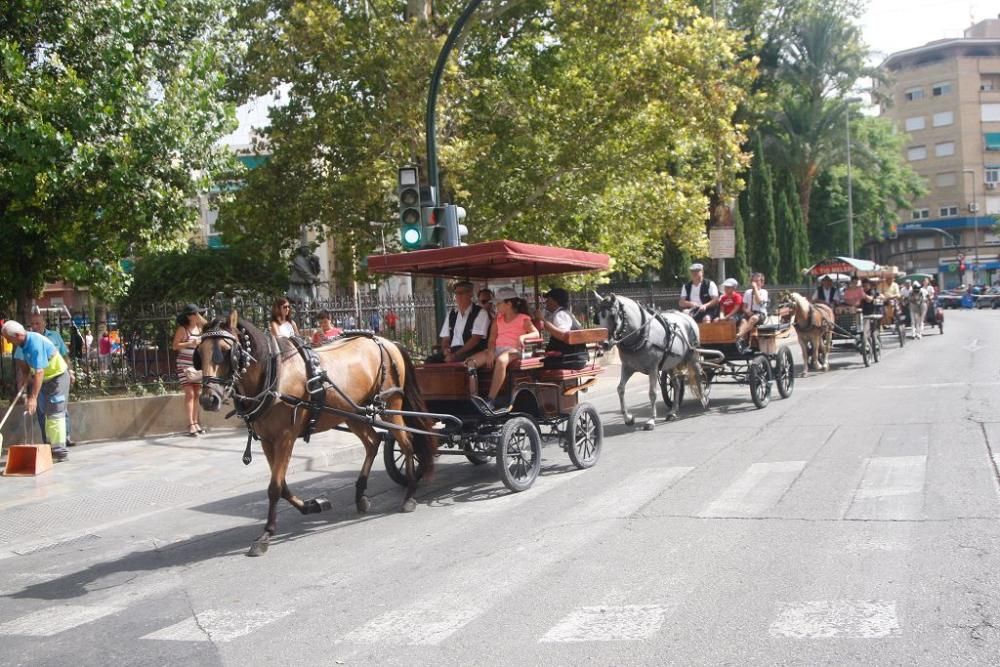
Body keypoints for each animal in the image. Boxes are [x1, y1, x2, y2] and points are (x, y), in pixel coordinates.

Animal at [195, 314, 434, 560]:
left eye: (226, 351)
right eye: (199, 353)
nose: (208, 399)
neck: (274, 374)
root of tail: (388, 342)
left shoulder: (285, 438)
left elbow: (274, 487)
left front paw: (266, 534)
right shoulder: (268, 441)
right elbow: (282, 485)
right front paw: (311, 506)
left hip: (391, 405)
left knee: (406, 443)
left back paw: (409, 494)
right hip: (354, 413)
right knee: (373, 442)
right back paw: (361, 494)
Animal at [592, 294, 704, 430]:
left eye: (613, 316)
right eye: (598, 318)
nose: (603, 344)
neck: (641, 335)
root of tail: (687, 316)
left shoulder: (653, 368)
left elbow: (652, 393)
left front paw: (651, 420)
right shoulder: (627, 368)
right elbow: (620, 389)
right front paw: (628, 418)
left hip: (693, 355)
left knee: (698, 375)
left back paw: (703, 399)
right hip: (670, 363)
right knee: (677, 385)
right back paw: (673, 411)